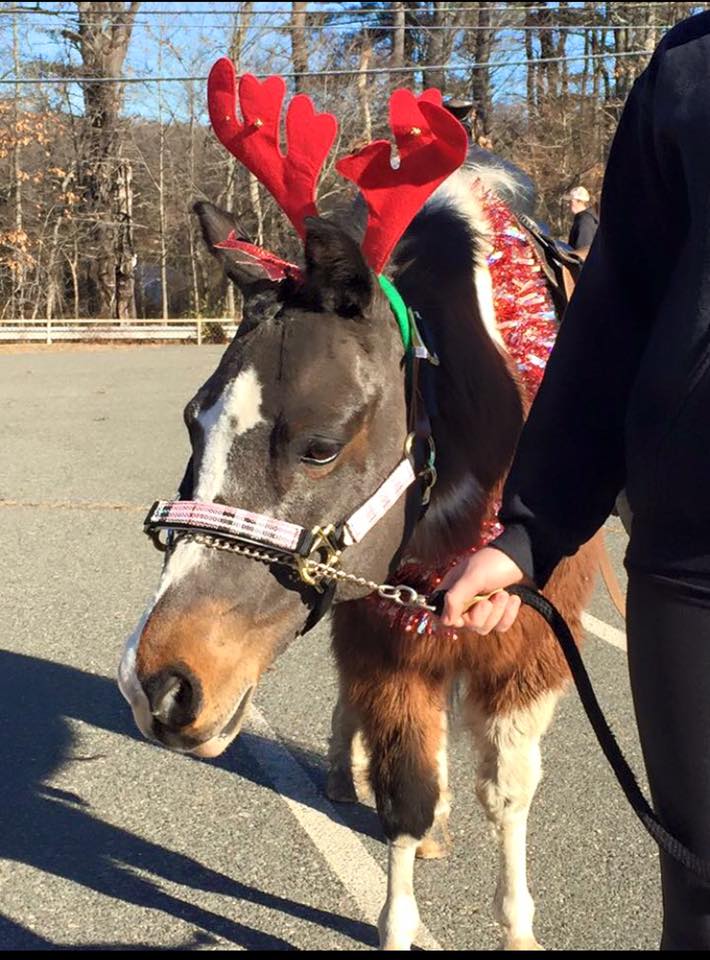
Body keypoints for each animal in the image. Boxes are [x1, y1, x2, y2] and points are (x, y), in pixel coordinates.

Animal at [119, 63, 596, 948]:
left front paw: (516, 922)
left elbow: (509, 792)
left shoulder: (529, 633)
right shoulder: (383, 622)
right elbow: (406, 791)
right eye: (193, 419)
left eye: (320, 445)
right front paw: (398, 915)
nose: (161, 683)